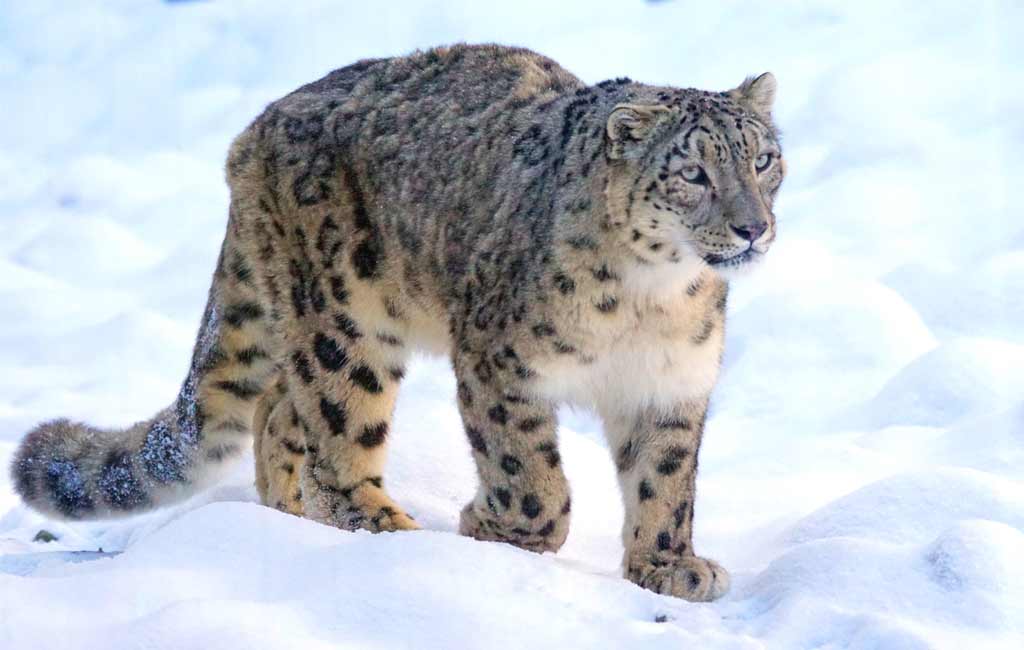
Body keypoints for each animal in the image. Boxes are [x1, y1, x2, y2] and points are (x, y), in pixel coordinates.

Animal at [11, 44, 784, 602]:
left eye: (764, 159)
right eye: (693, 173)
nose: (753, 227)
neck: (654, 298)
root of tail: (255, 130)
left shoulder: (671, 385)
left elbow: (666, 481)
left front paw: (669, 566)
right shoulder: (501, 365)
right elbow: (530, 475)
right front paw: (495, 528)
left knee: (278, 412)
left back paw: (287, 519)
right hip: (344, 323)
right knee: (334, 434)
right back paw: (387, 529)